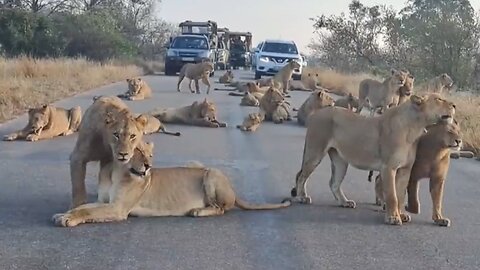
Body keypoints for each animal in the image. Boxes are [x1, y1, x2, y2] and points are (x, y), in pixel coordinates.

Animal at [54, 142, 290, 227]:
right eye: (137, 150)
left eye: (149, 153)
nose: (148, 166)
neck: (116, 171)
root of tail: (234, 190)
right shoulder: (106, 202)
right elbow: (83, 207)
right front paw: (63, 214)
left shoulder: (118, 209)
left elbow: (87, 212)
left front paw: (68, 219)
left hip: (211, 173)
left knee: (221, 209)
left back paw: (197, 211)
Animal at [284, 93, 458, 226]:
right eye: (439, 99)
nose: (455, 105)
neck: (415, 128)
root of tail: (316, 113)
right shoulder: (389, 167)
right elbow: (392, 196)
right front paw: (393, 217)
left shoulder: (405, 170)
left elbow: (401, 195)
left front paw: (401, 214)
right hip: (315, 152)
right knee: (302, 176)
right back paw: (302, 197)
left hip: (340, 160)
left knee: (333, 183)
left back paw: (345, 202)